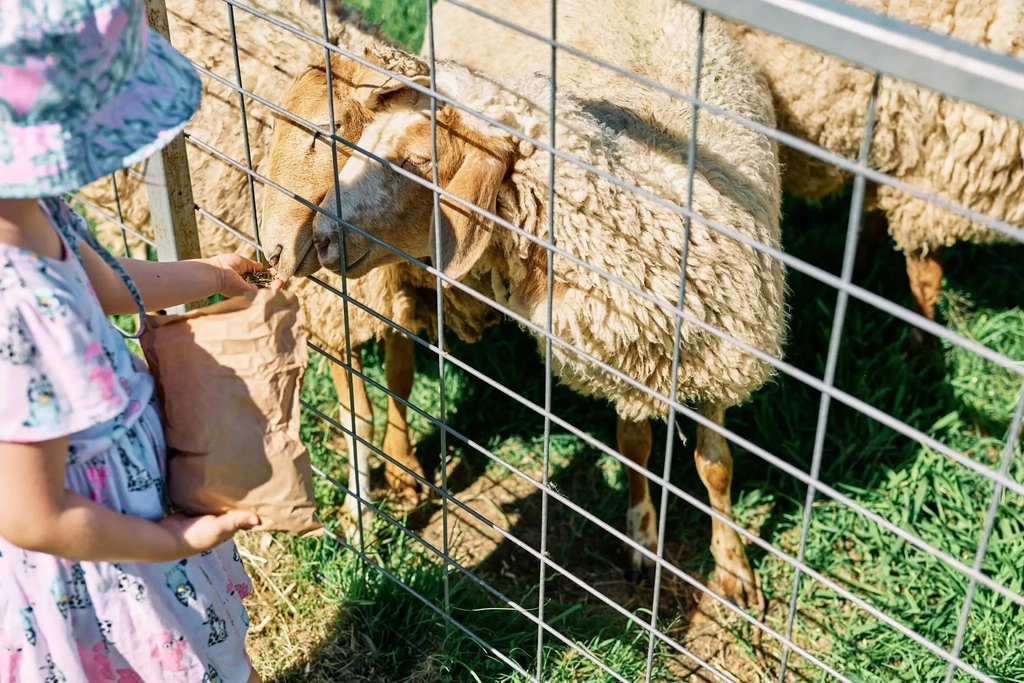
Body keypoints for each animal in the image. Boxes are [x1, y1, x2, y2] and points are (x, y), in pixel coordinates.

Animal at [74, 0, 497, 532]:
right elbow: (357, 417)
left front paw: (406, 471)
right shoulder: (333, 314)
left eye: (325, 130)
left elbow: (400, 383)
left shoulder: (397, 294)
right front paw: (359, 512)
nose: (271, 253)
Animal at [303, 29, 782, 610]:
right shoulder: (625, 358)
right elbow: (635, 448)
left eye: (419, 160)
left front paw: (734, 569)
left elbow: (715, 466)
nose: (320, 236)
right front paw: (642, 541)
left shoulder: (716, 355)